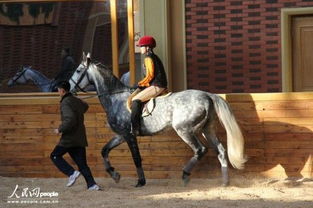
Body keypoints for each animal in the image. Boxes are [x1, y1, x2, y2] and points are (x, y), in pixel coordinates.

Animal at [69, 52, 246, 187]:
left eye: (78, 71)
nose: (68, 88)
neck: (115, 98)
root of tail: (208, 95)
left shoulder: (129, 135)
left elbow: (136, 158)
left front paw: (140, 181)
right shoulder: (120, 135)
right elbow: (104, 150)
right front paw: (115, 175)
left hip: (184, 130)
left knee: (200, 150)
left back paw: (185, 174)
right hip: (207, 129)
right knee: (221, 151)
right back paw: (225, 182)